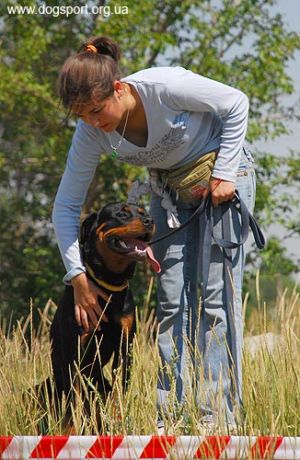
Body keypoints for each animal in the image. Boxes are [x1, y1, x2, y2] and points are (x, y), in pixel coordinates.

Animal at [42, 203, 161, 430]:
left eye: (144, 212)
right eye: (122, 213)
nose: (150, 221)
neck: (109, 284)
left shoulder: (125, 345)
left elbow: (119, 390)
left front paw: (117, 420)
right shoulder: (75, 350)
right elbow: (74, 399)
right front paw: (71, 428)